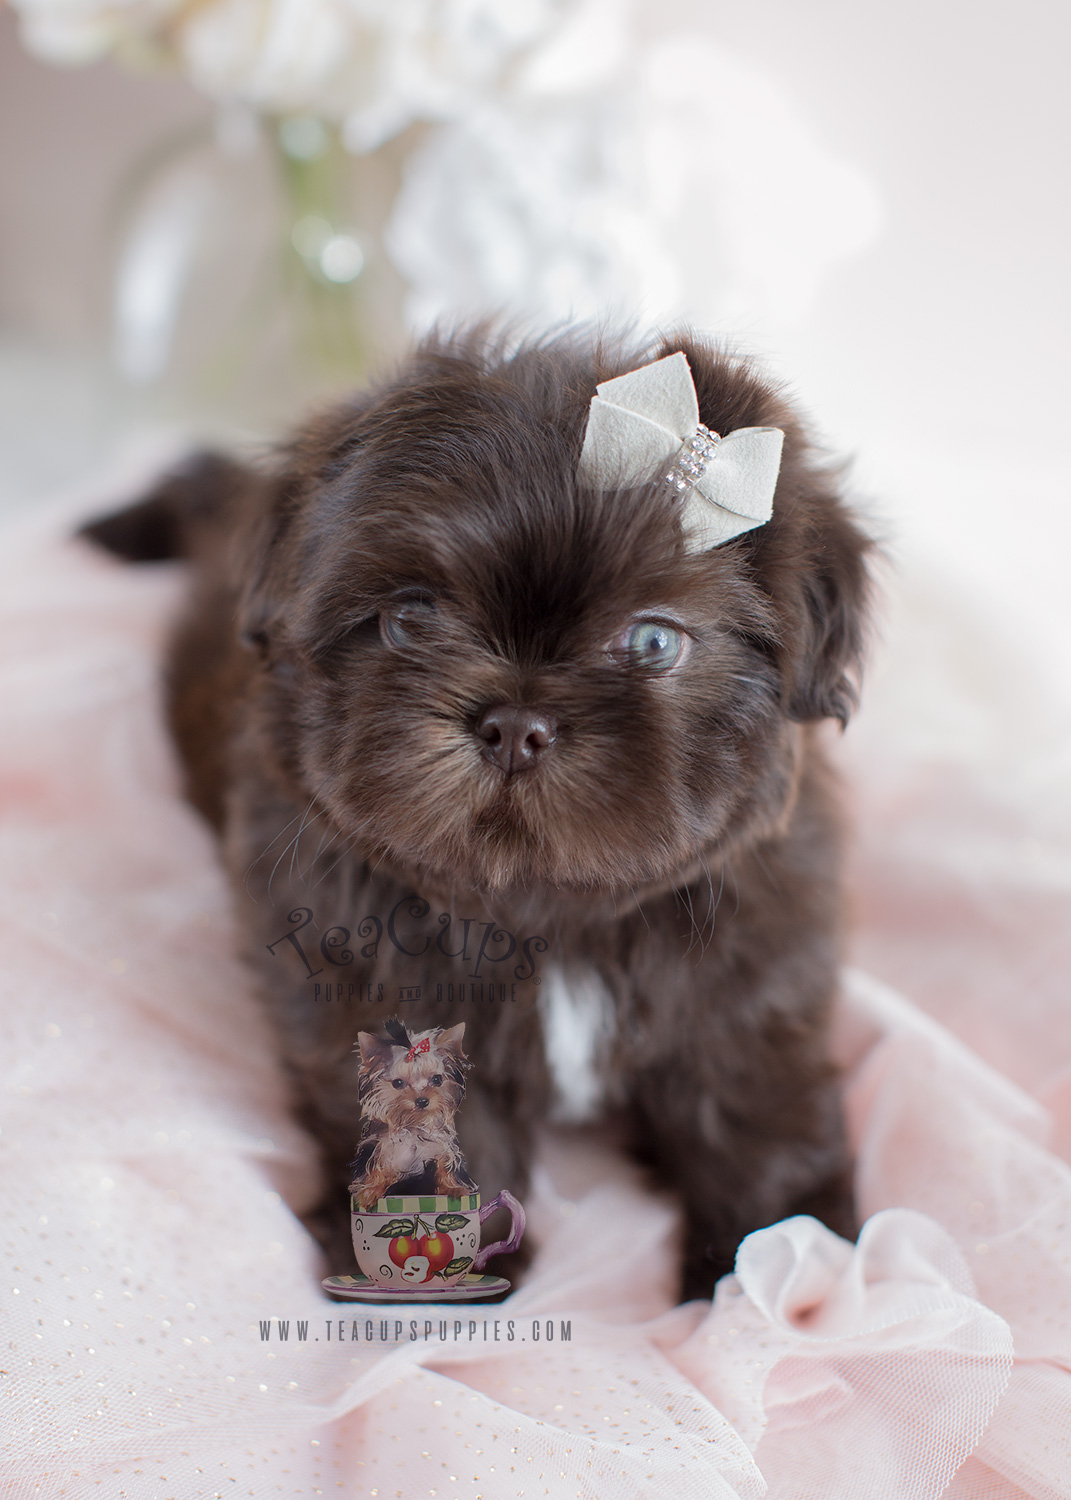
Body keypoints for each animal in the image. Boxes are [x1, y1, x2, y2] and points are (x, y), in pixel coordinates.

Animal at [83, 331, 870, 1302]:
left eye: (653, 642)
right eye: (412, 618)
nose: (514, 725)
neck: (548, 907)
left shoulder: (748, 974)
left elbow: (751, 1104)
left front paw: (776, 1261)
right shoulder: (367, 973)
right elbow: (429, 1114)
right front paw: (428, 1258)